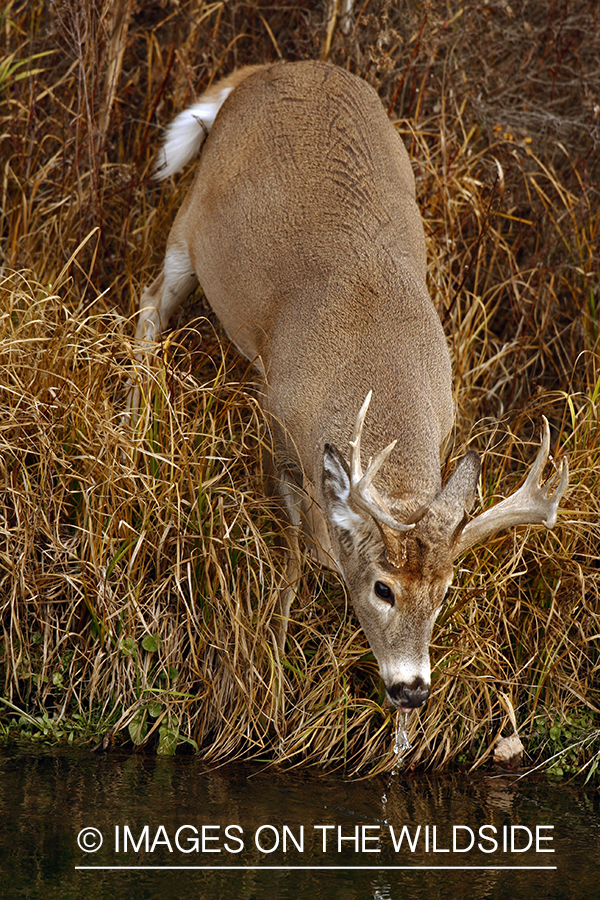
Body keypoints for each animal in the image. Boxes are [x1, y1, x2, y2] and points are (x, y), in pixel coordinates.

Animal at [134, 59, 568, 712]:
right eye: (383, 588)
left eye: (443, 592)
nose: (412, 689)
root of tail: (272, 69)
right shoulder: (279, 426)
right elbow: (298, 553)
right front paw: (274, 664)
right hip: (191, 222)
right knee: (151, 302)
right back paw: (134, 411)